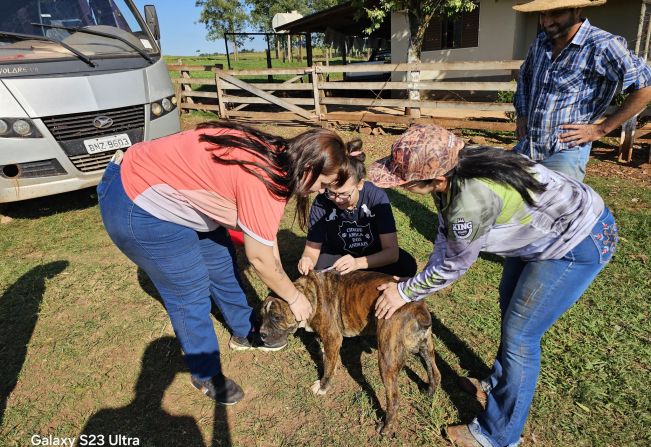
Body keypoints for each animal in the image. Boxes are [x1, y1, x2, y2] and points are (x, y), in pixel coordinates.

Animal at [262, 272, 444, 436]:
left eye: (277, 317)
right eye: (261, 317)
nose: (262, 333)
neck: (308, 293)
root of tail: (419, 309)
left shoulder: (333, 338)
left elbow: (328, 367)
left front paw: (323, 387)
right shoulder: (329, 343)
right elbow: (329, 361)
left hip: (387, 359)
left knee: (394, 398)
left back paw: (386, 427)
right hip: (426, 347)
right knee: (435, 372)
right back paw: (429, 392)